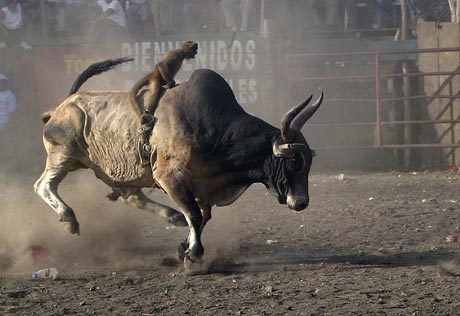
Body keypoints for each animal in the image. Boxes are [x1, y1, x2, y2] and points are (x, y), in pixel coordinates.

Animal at [35, 57, 324, 272]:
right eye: (295, 162)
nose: (302, 202)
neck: (214, 128)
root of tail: (63, 105)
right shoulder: (170, 177)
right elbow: (195, 215)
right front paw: (193, 256)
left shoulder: (202, 186)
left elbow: (202, 216)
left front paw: (183, 247)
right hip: (63, 155)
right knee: (43, 185)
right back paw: (68, 217)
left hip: (120, 173)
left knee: (132, 197)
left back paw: (171, 216)